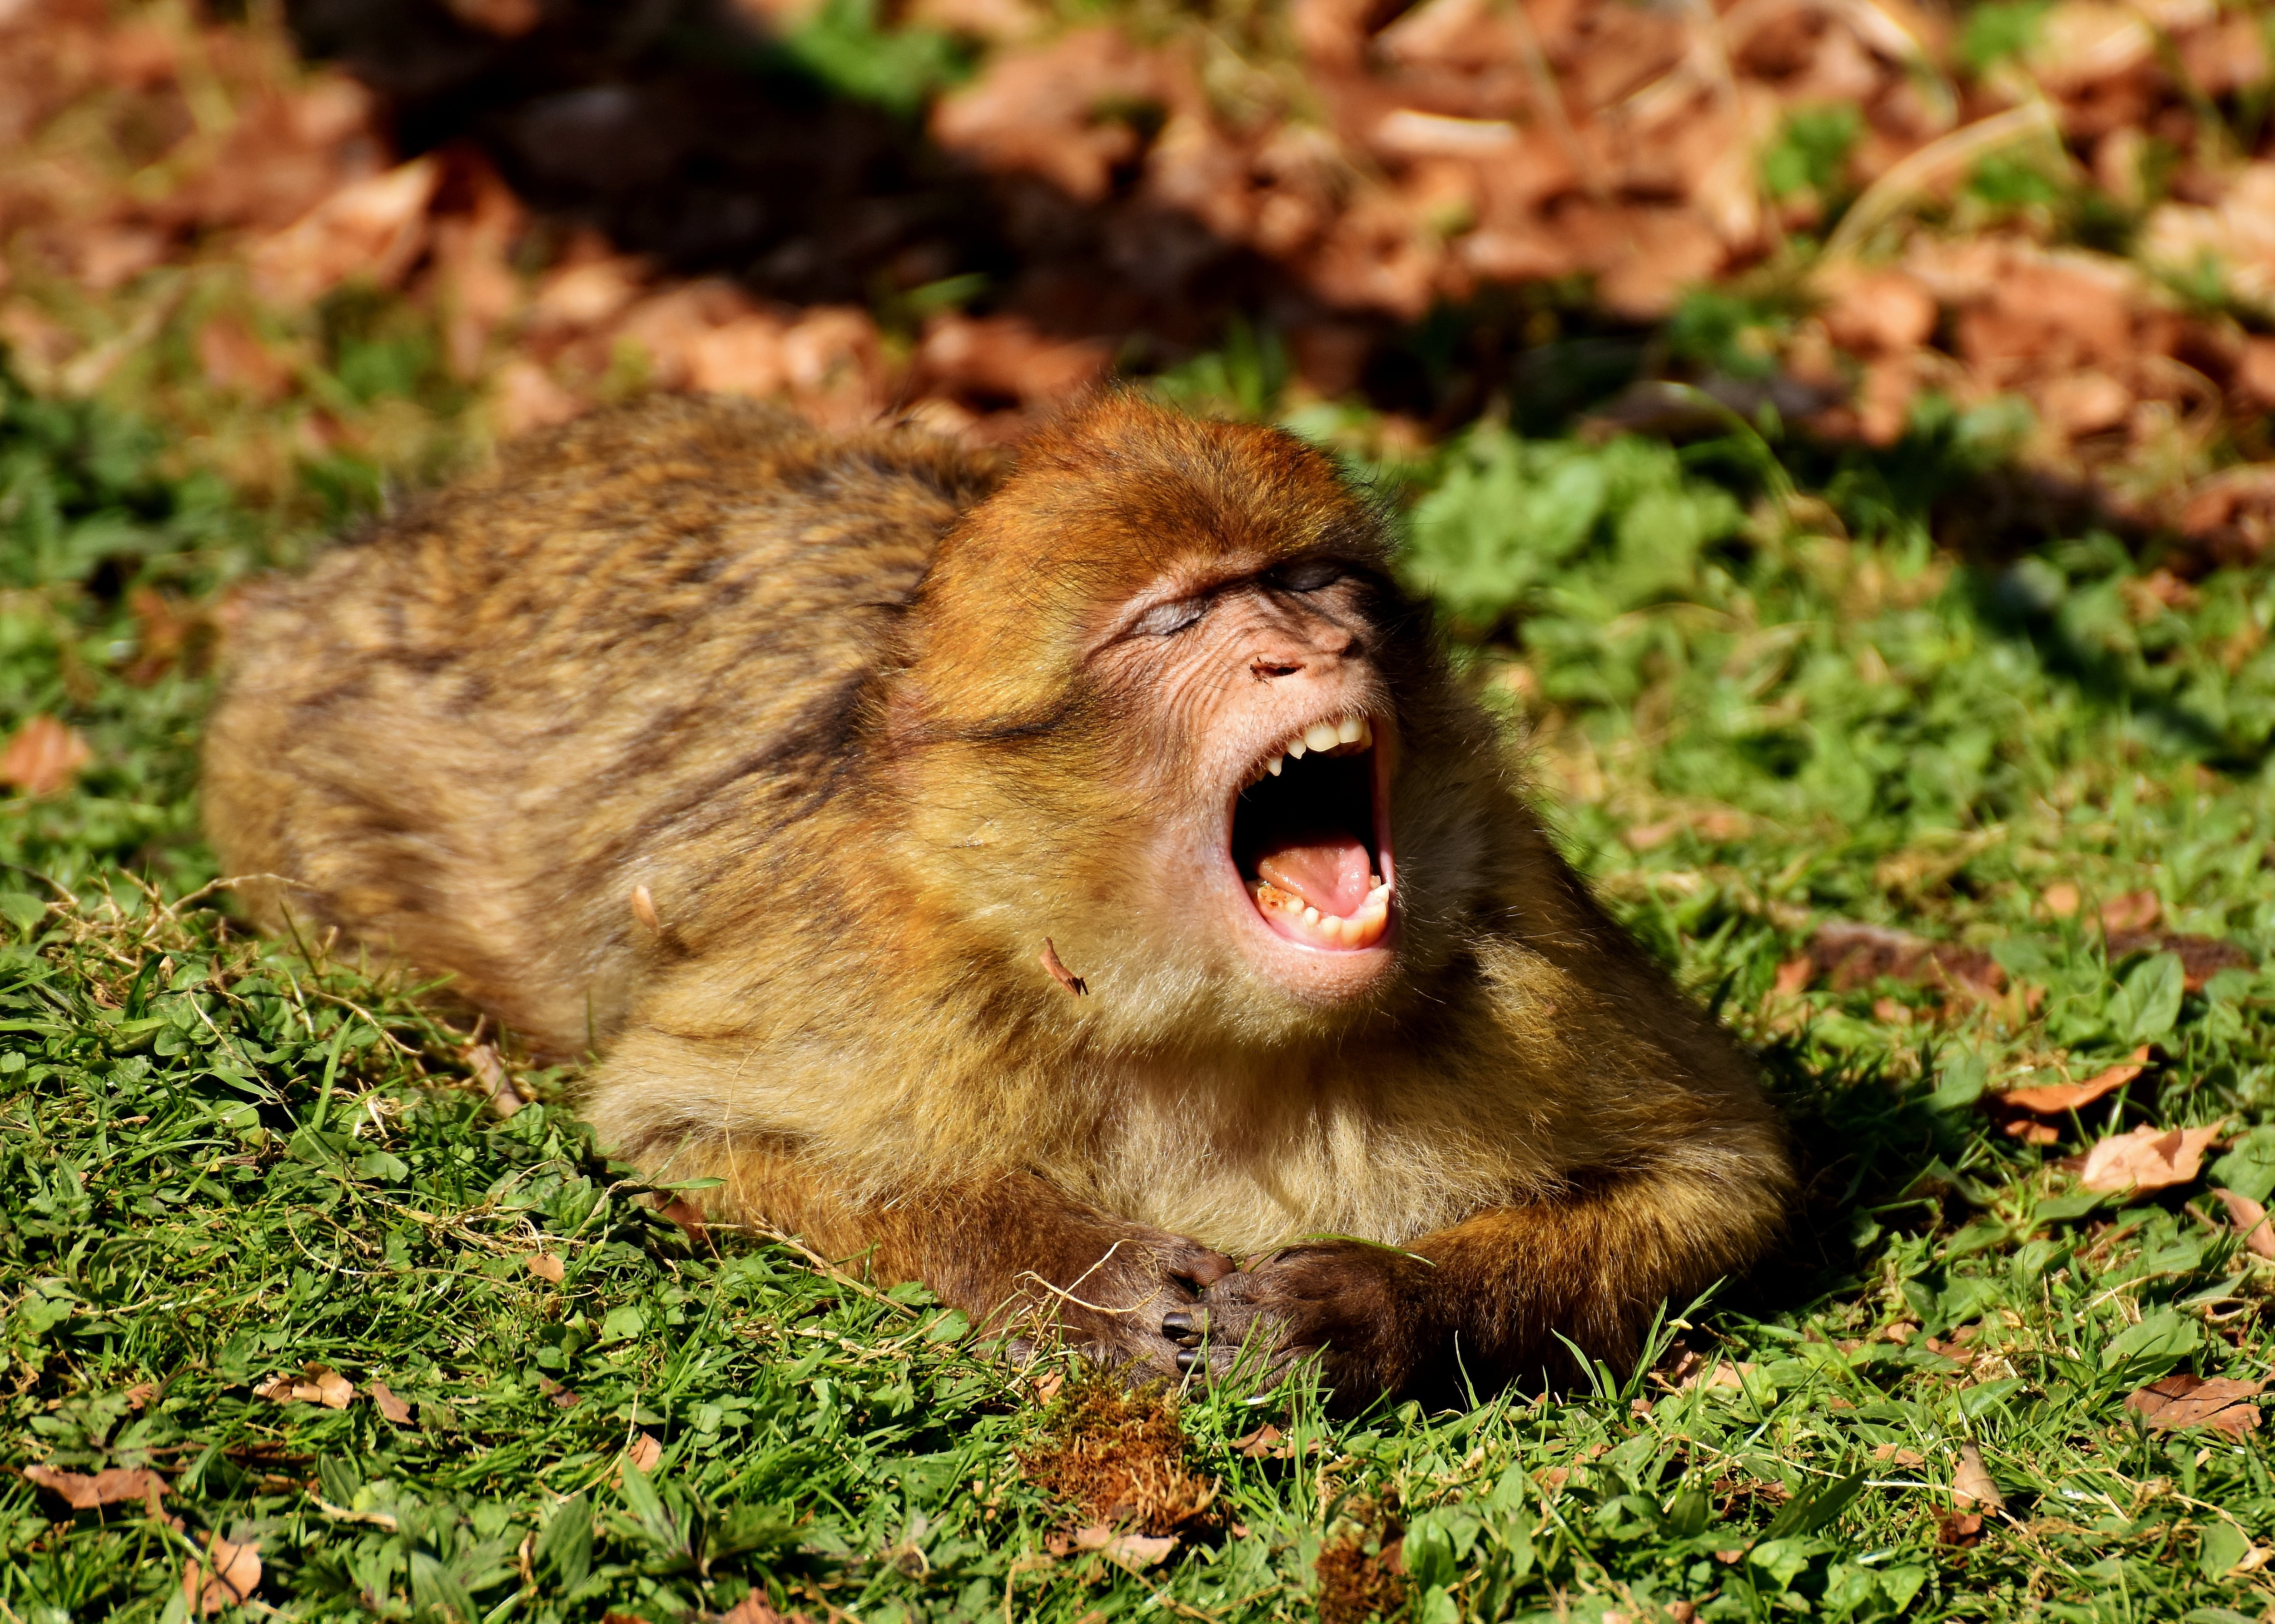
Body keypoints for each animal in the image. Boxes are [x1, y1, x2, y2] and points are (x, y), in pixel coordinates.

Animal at [202, 392, 1793, 1407]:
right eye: (1179, 620)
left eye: (1316, 584)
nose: (1306, 649)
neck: (1217, 1031)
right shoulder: (889, 976)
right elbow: (681, 1124)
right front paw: (1080, 1279)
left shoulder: (1527, 952)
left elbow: (1721, 1173)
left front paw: (1373, 1304)